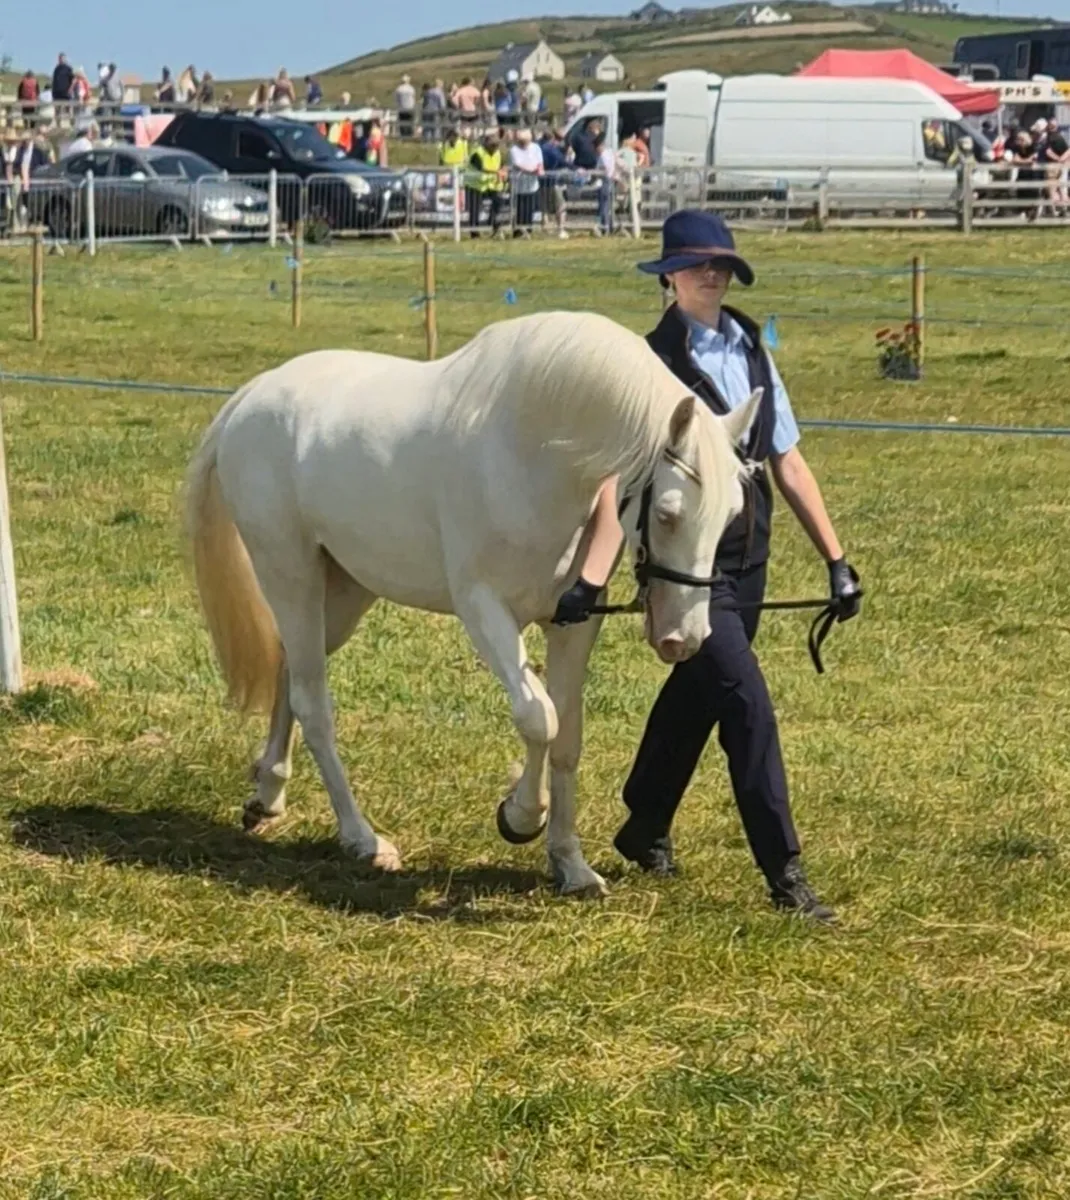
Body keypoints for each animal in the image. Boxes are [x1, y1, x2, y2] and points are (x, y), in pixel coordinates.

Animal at [184, 310, 759, 897]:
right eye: (667, 513)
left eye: (733, 513)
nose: (684, 637)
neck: (534, 452)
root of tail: (253, 396)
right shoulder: (484, 610)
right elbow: (539, 718)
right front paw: (520, 817)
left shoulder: (571, 624)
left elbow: (567, 736)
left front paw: (571, 865)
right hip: (290, 573)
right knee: (314, 703)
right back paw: (362, 838)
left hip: (345, 589)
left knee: (291, 672)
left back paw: (267, 796)